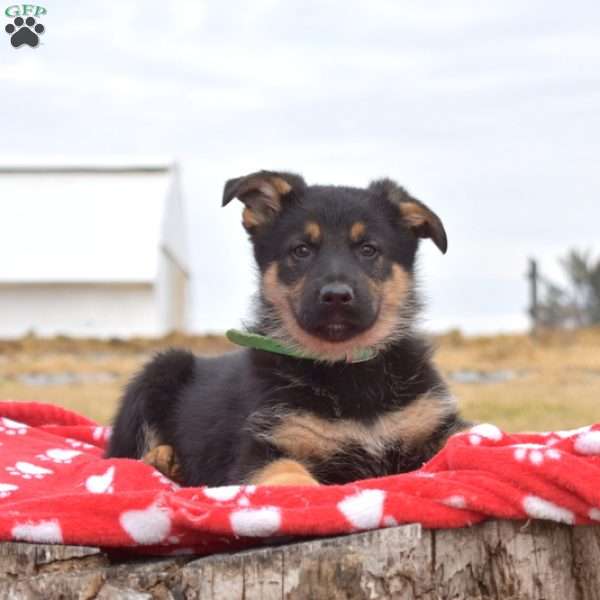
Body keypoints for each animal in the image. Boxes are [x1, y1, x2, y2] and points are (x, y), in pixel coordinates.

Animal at [105, 170, 466, 488]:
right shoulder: (260, 447)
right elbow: (286, 469)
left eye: (368, 249)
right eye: (301, 250)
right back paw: (163, 460)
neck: (345, 369)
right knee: (121, 456)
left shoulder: (433, 422)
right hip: (159, 371)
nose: (336, 296)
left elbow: (466, 439)